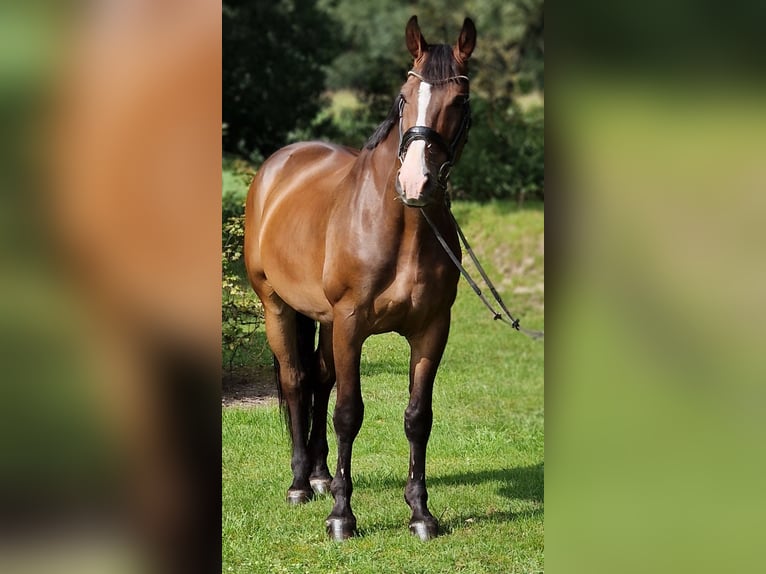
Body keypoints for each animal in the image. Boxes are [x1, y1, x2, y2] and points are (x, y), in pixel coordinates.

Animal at [246, 14, 476, 544]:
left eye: (460, 101)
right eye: (404, 97)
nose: (415, 184)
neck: (402, 228)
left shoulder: (432, 329)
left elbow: (417, 417)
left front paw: (420, 513)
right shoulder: (351, 323)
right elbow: (348, 413)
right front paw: (341, 517)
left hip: (326, 322)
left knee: (319, 378)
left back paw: (319, 475)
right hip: (277, 307)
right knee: (295, 380)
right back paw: (300, 484)